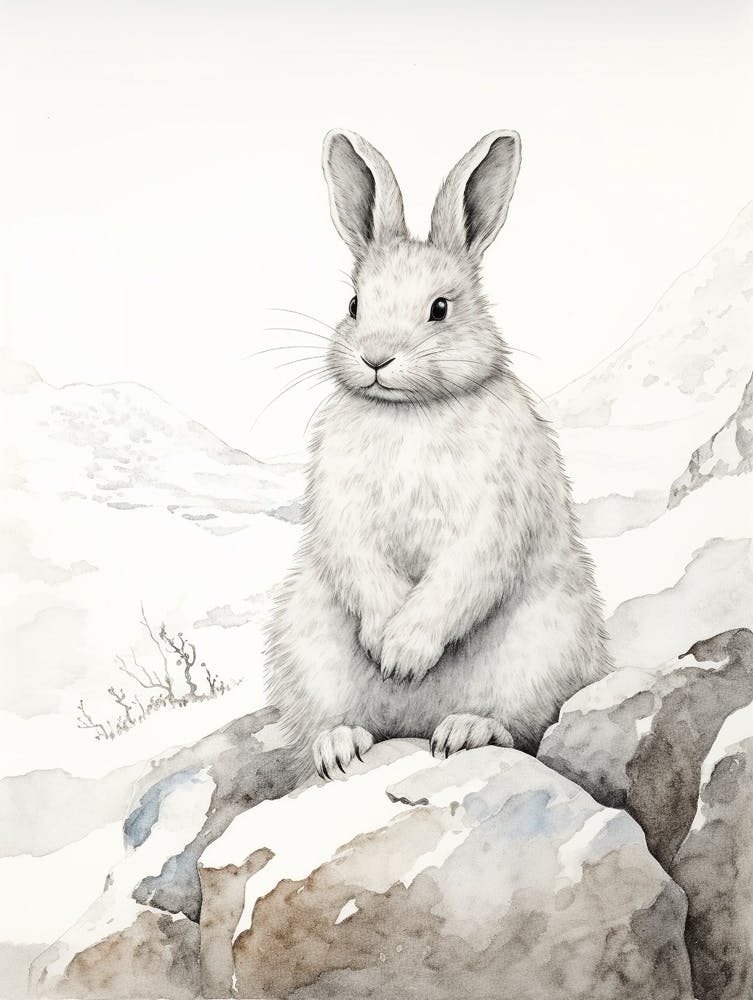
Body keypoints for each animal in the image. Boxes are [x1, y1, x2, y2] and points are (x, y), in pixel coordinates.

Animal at [265, 128, 612, 780]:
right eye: (354, 304)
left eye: (441, 308)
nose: (376, 358)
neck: (409, 412)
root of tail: (413, 724)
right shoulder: (339, 506)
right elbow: (359, 560)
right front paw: (389, 646)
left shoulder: (497, 511)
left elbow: (463, 572)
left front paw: (403, 653)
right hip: (308, 645)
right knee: (321, 727)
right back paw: (341, 746)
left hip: (544, 643)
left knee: (519, 725)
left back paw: (465, 730)